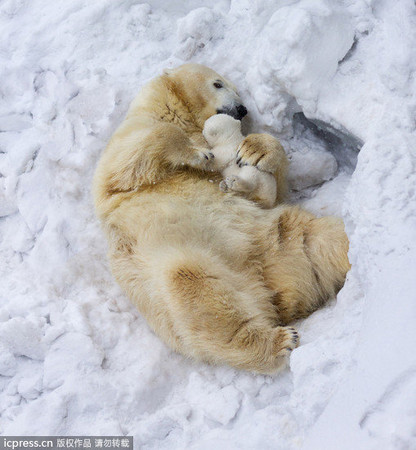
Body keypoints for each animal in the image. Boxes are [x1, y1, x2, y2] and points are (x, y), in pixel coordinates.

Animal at [92, 62, 350, 372]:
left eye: (237, 90)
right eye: (218, 83)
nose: (242, 109)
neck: (183, 117)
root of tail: (271, 289)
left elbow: (271, 191)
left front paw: (255, 149)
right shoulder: (127, 143)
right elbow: (132, 156)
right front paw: (199, 153)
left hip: (283, 238)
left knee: (326, 239)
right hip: (183, 264)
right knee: (194, 286)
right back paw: (278, 340)